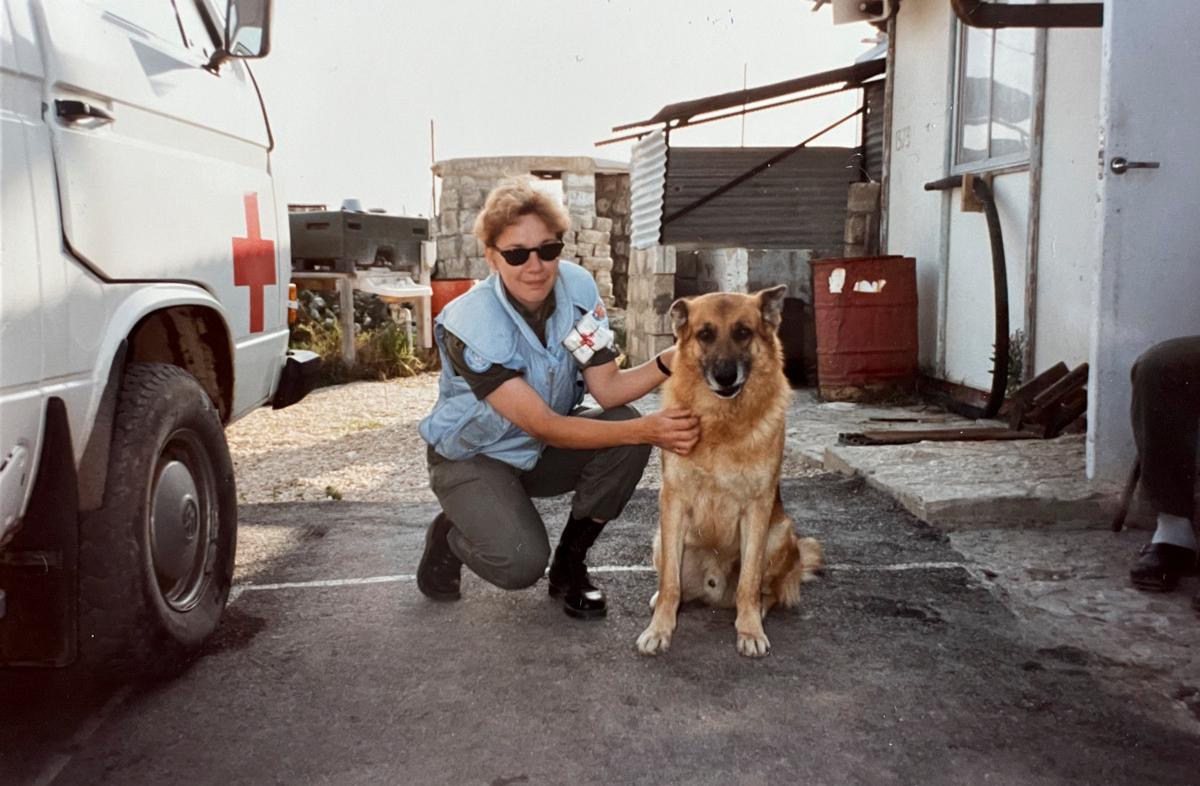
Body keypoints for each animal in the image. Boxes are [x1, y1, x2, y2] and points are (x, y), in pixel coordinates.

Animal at [638, 284, 825, 657]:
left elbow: (749, 583)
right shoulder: (673, 501)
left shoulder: (757, 508)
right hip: (661, 540)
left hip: (781, 532)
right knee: (675, 583)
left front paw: (750, 630)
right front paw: (660, 629)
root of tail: (714, 585)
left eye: (743, 332)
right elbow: (670, 584)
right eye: (705, 334)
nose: (725, 376)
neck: (720, 422)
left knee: (767, 590)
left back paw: (758, 610)